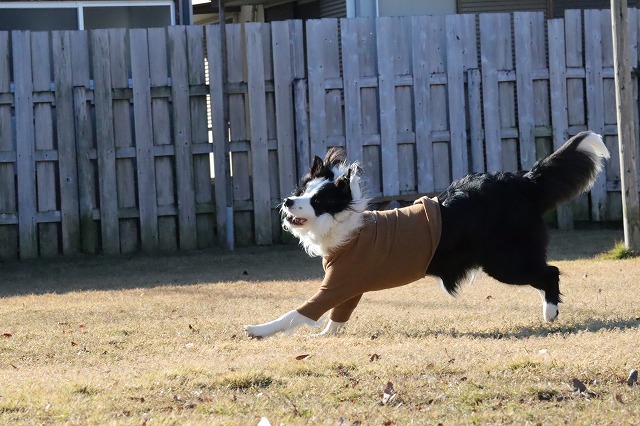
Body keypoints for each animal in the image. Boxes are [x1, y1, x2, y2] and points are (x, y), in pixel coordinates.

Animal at [244, 131, 610, 338]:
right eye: (302, 191)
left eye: (318, 200)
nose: (288, 201)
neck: (344, 223)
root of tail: (524, 181)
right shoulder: (350, 286)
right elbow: (337, 317)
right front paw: (325, 337)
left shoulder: (337, 283)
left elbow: (298, 312)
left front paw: (259, 330)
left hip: (506, 261)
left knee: (551, 271)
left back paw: (550, 312)